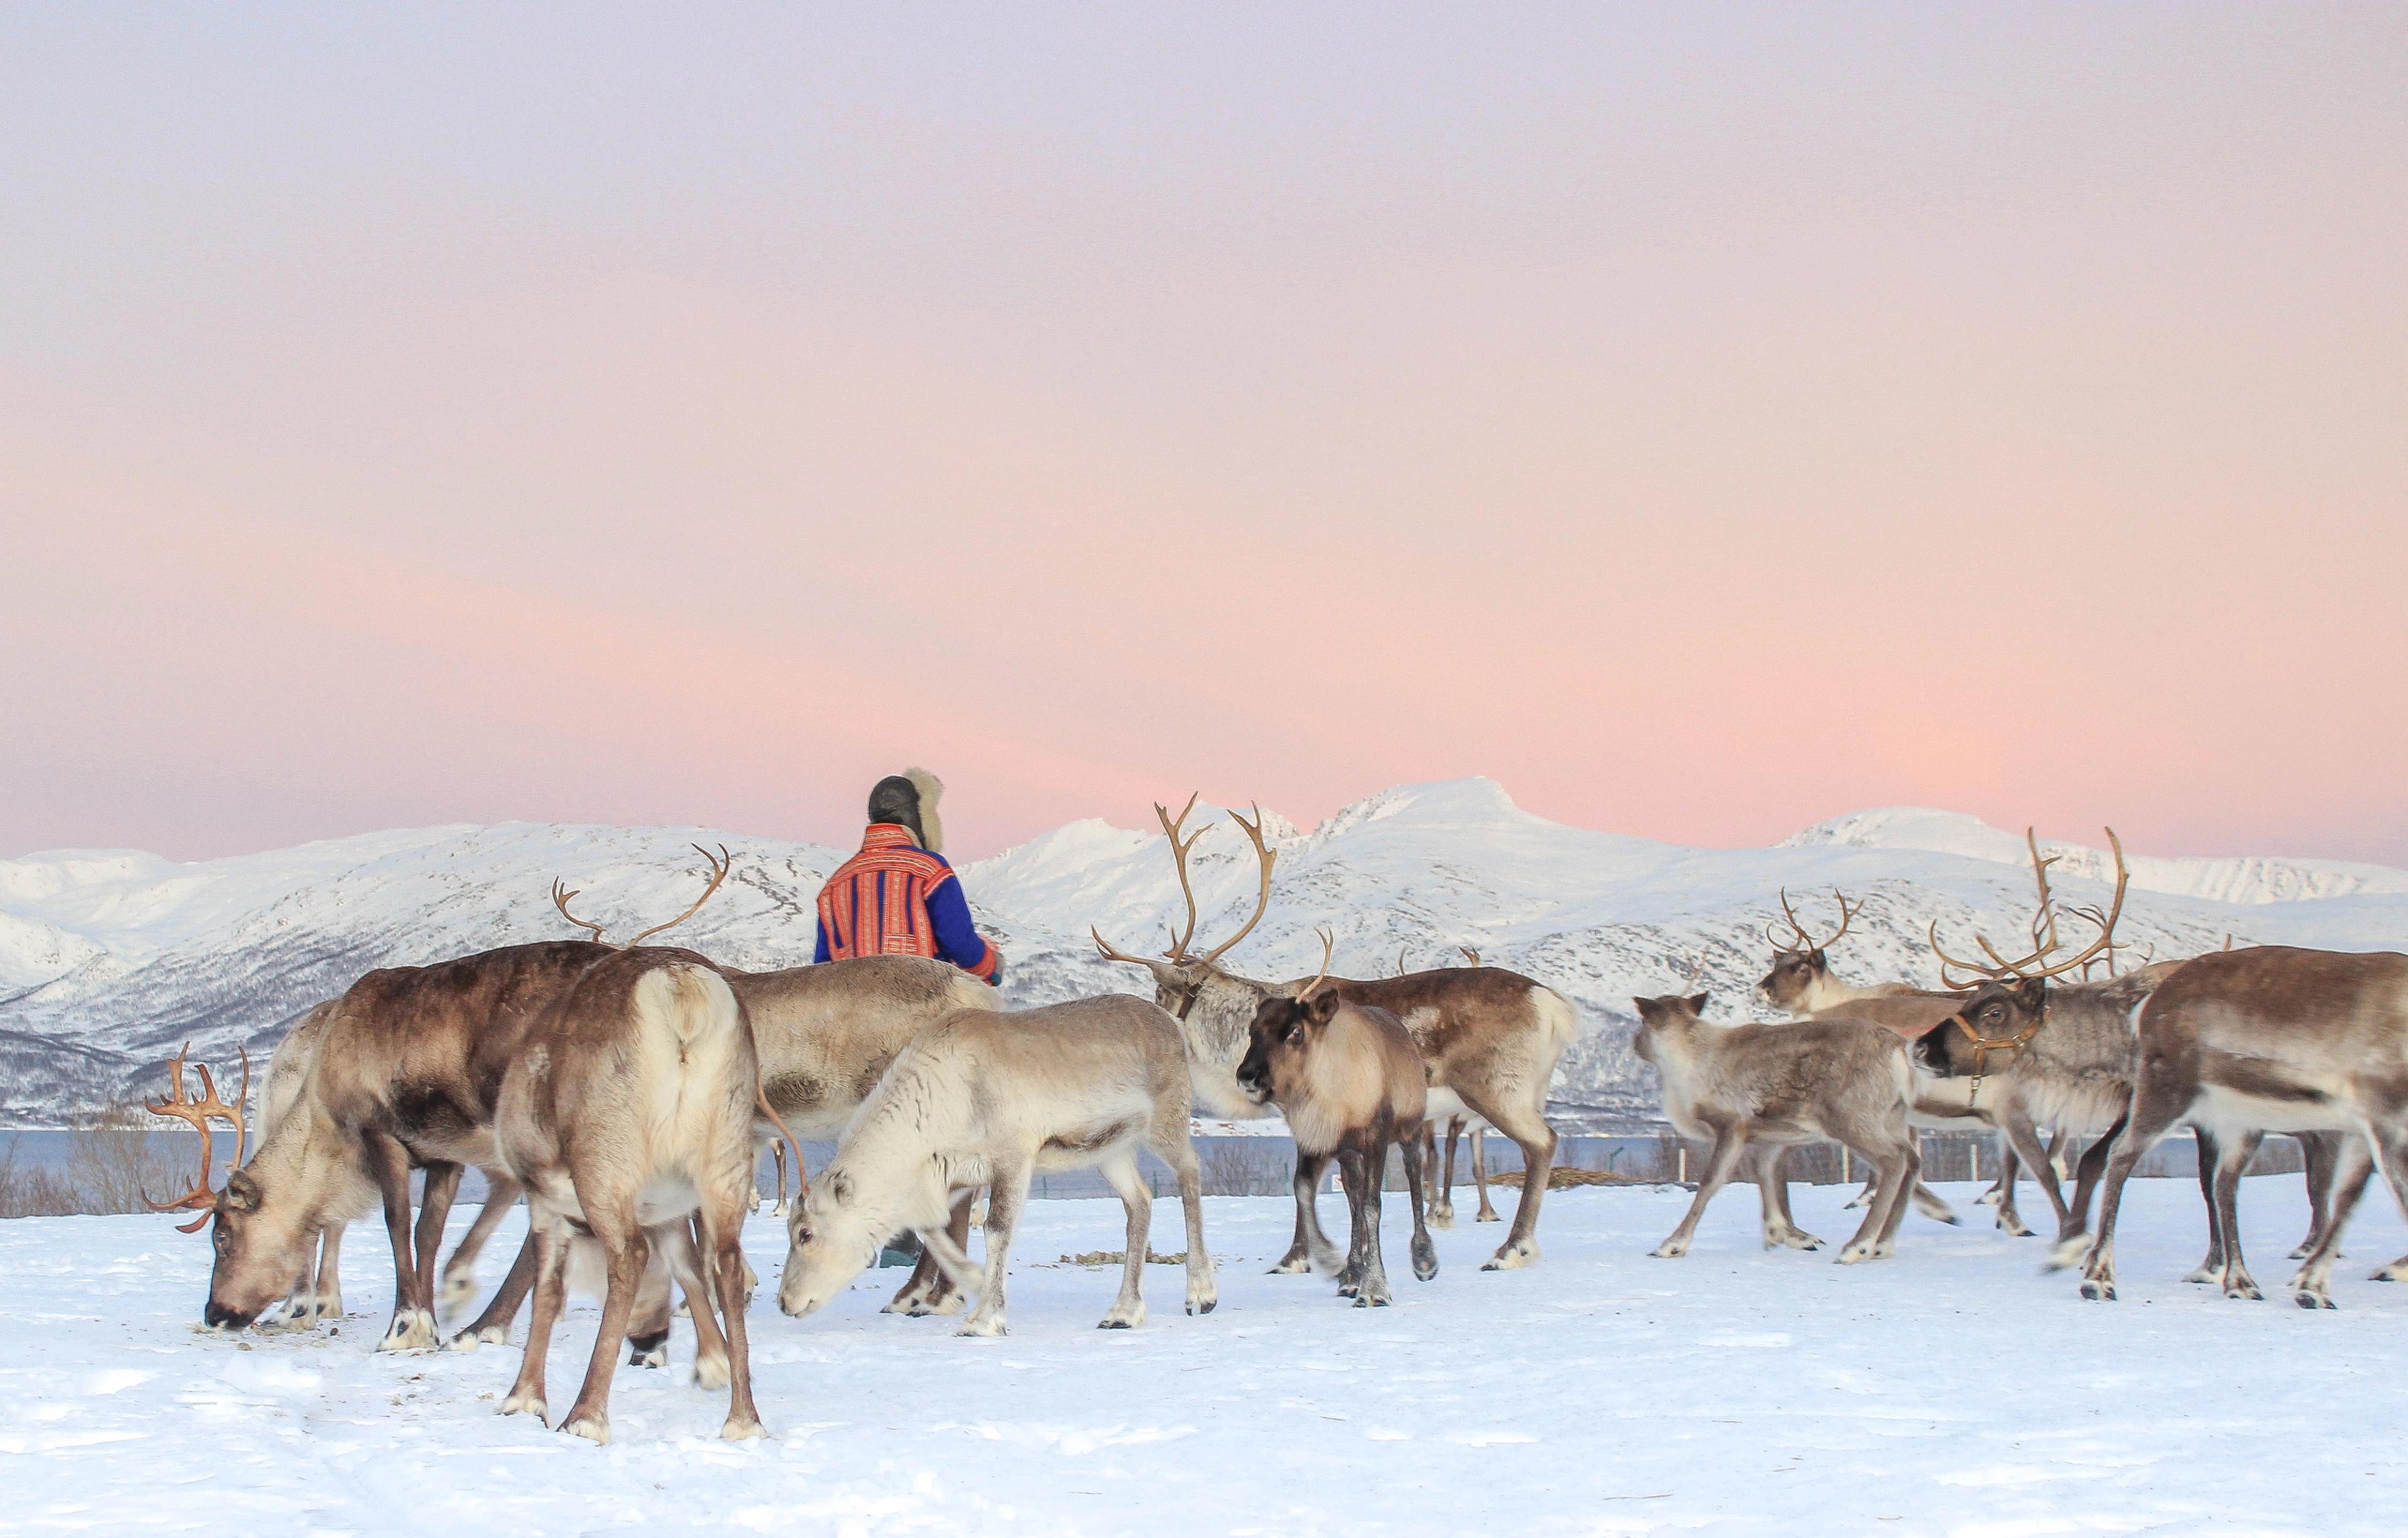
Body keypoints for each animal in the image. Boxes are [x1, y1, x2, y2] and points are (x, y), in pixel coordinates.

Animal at [494, 944, 773, 1444]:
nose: (648, 1340)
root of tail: (680, 987)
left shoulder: (545, 1203)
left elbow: (546, 1293)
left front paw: (523, 1399)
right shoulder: (668, 1210)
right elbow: (687, 1269)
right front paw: (713, 1363)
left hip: (606, 1165)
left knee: (629, 1255)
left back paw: (584, 1417)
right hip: (725, 1161)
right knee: (726, 1262)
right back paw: (743, 1421)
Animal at [777, 993, 1217, 1337]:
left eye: (805, 1233)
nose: (785, 1302)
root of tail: (1174, 1024)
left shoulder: (1014, 1158)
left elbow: (996, 1229)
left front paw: (984, 1318)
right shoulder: (954, 1175)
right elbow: (932, 1229)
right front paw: (968, 1281)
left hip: (1166, 1125)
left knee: (1191, 1171)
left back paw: (1200, 1293)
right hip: (1111, 1153)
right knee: (1140, 1201)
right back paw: (1123, 1313)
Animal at [1237, 931, 1437, 1305]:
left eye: (1295, 1030)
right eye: (1253, 1030)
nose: (1247, 1076)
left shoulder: (1375, 1137)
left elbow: (1373, 1206)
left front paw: (1376, 1288)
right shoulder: (1318, 1141)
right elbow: (1305, 1191)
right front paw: (1333, 1261)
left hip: (1410, 1128)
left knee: (1414, 1177)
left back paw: (1423, 1259)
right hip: (1350, 1154)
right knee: (1353, 1199)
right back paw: (1351, 1274)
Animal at [1633, 988, 1921, 1263]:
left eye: (1643, 1021)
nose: (1635, 1043)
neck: (1687, 1062)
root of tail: (1899, 1048)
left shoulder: (1732, 1126)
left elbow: (1711, 1182)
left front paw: (1672, 1245)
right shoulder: (1772, 1136)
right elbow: (1767, 1176)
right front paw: (1785, 1233)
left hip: (1851, 1121)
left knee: (1894, 1161)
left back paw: (1858, 1246)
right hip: (1891, 1121)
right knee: (1913, 1160)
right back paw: (1883, 1245)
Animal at [2064, 943, 2408, 1308]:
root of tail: (2152, 1000)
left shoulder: (2362, 1129)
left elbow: (2348, 1200)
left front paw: (2312, 1287)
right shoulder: (2384, 1120)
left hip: (2241, 1121)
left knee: (2224, 1182)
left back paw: (2240, 1282)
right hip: (2167, 1092)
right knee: (2120, 1157)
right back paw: (2099, 1280)